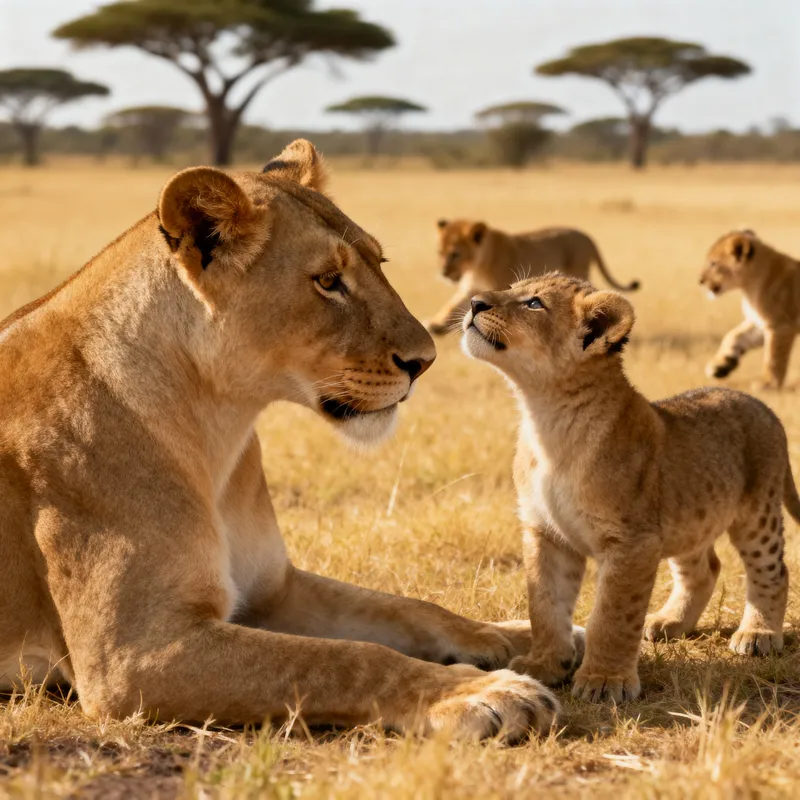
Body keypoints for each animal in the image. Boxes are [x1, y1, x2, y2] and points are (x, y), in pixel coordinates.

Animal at [0, 140, 565, 741]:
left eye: (379, 264)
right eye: (328, 281)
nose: (426, 361)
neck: (217, 426)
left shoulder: (275, 589)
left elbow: (409, 609)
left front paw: (519, 636)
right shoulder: (132, 656)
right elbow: (347, 659)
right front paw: (482, 691)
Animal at [425, 219, 640, 335]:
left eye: (455, 254)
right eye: (439, 252)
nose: (443, 273)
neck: (477, 266)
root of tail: (587, 236)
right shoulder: (470, 288)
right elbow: (450, 305)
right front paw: (434, 325)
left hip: (579, 270)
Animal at [462, 272, 799, 703]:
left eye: (534, 303)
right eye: (511, 288)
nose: (474, 302)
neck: (546, 418)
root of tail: (761, 405)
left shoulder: (632, 542)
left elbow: (613, 615)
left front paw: (604, 681)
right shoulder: (546, 533)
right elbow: (546, 605)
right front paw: (545, 664)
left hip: (757, 515)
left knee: (773, 571)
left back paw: (757, 634)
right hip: (683, 520)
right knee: (704, 569)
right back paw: (669, 622)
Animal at [700, 229, 800, 390]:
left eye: (713, 263)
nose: (700, 280)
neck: (749, 288)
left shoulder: (781, 325)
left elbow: (774, 356)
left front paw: (768, 383)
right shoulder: (758, 323)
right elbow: (734, 336)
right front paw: (720, 366)